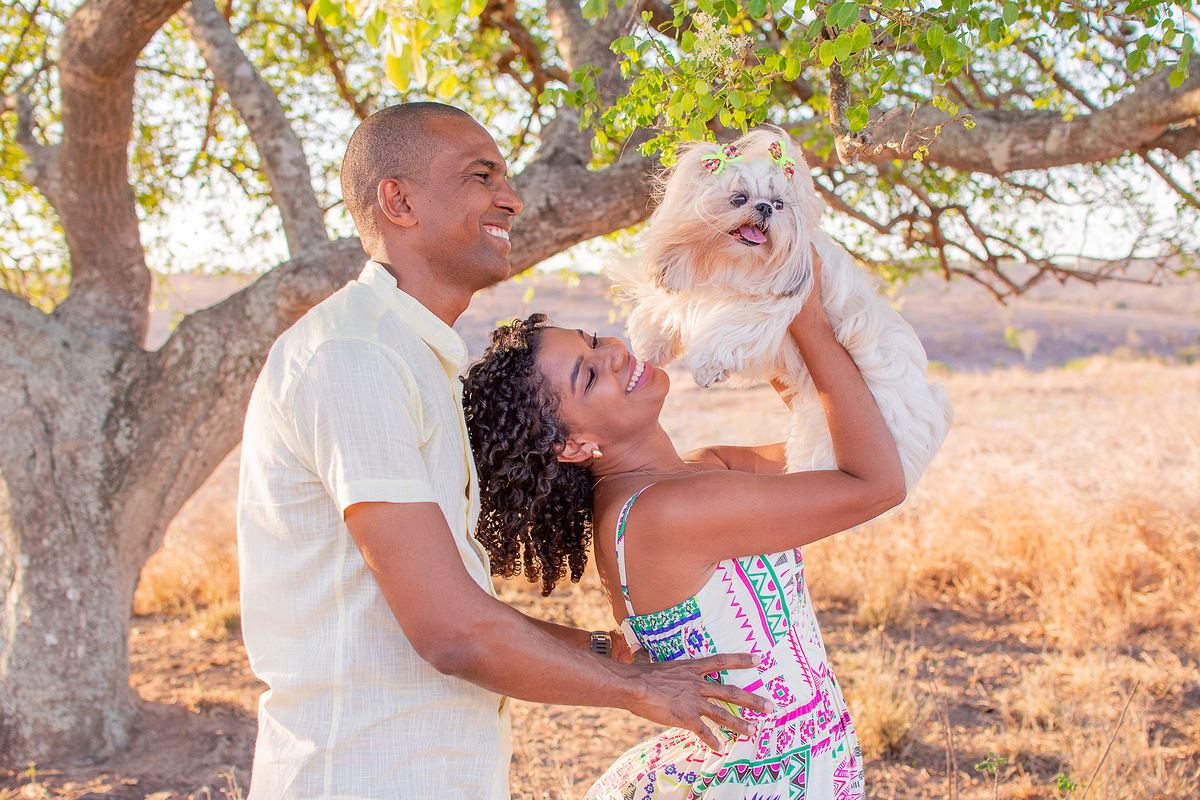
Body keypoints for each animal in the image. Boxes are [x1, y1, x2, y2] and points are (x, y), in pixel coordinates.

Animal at [608, 126, 953, 493]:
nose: (765, 208)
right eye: (739, 198)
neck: (732, 264)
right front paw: (651, 347)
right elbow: (667, 307)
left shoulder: (768, 307)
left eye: (779, 204)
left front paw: (706, 368)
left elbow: (732, 328)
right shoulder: (697, 286)